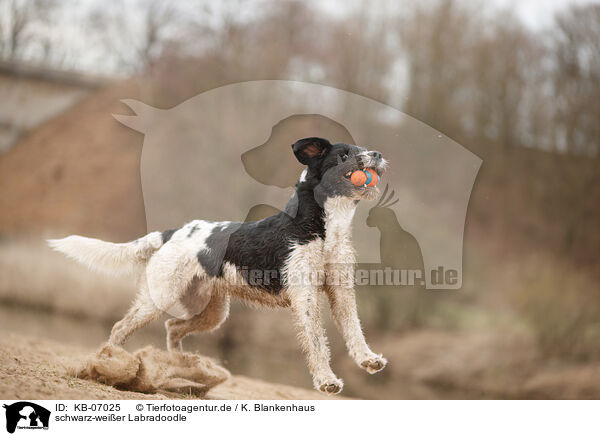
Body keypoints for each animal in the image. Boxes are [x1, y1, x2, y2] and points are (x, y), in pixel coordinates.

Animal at [50, 137, 390, 396]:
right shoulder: (305, 297)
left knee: (172, 327)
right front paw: (327, 381)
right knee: (120, 328)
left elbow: (354, 330)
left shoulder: (341, 293)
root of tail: (171, 233)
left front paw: (368, 360)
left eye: (362, 148)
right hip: (157, 298)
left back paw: (183, 369)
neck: (323, 227)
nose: (378, 154)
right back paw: (111, 364)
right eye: (344, 155)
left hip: (211, 311)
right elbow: (318, 341)